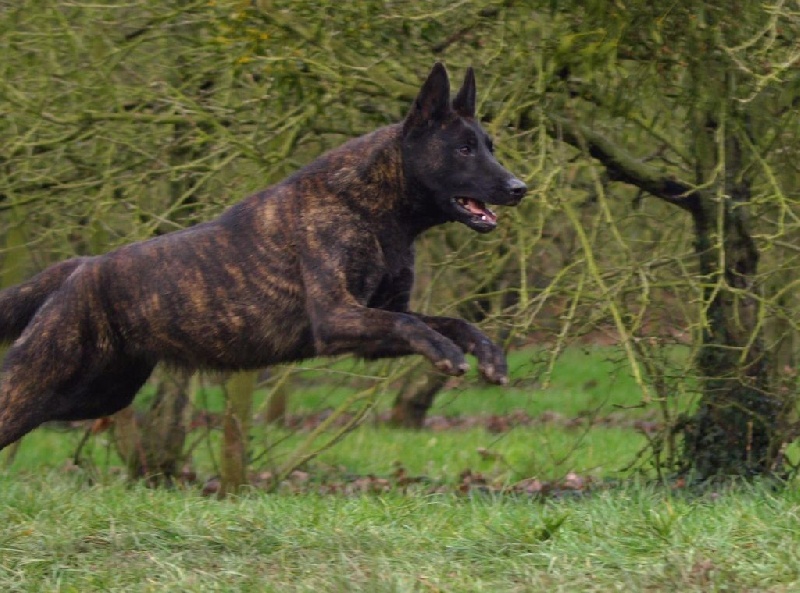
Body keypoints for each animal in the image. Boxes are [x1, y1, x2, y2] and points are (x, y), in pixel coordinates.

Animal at [0, 61, 528, 448]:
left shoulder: (373, 323)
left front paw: (487, 355)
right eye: (464, 149)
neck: (373, 207)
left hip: (98, 394)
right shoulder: (337, 316)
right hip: (39, 379)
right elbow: (412, 325)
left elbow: (448, 322)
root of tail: (80, 268)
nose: (520, 188)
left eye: (489, 145)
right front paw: (446, 354)